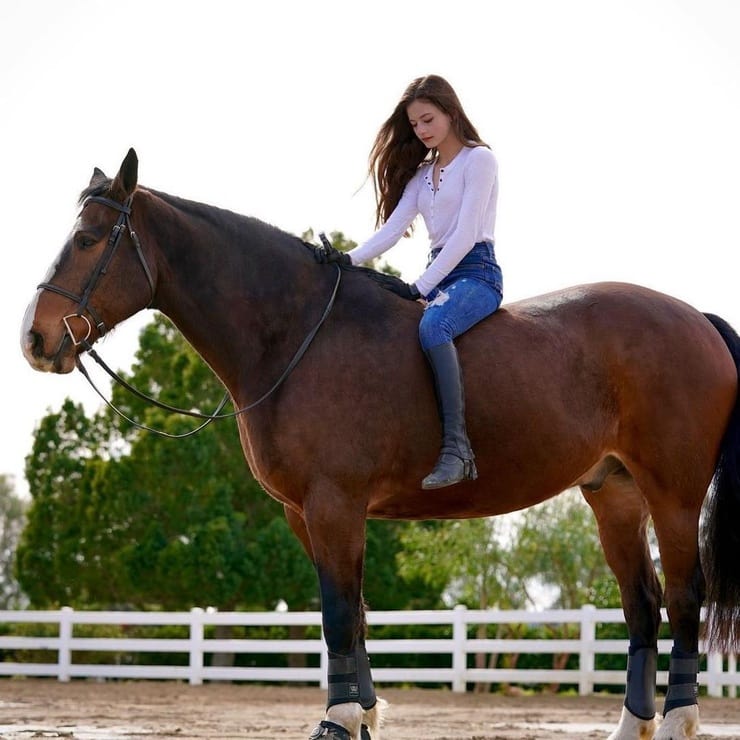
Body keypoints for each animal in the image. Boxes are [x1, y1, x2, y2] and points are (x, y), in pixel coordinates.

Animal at [20, 147, 740, 736]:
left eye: (87, 238)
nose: (36, 337)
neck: (298, 333)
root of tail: (695, 318)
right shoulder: (304, 513)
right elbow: (353, 616)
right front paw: (362, 714)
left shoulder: (334, 505)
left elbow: (340, 614)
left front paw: (338, 721)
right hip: (614, 494)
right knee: (642, 606)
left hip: (672, 496)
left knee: (684, 601)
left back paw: (678, 722)